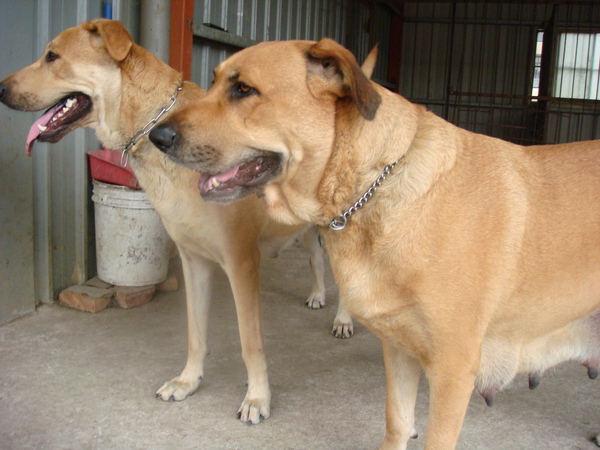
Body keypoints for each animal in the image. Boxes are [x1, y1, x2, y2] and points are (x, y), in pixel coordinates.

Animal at [0, 18, 356, 426]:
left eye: (52, 56)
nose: (0, 89)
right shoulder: (193, 260)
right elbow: (194, 333)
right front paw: (188, 381)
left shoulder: (241, 263)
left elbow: (250, 342)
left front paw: (257, 398)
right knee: (314, 256)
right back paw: (317, 295)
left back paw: (344, 318)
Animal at [149, 39, 600, 450]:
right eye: (213, 82)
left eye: (244, 90)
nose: (157, 136)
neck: (374, 186)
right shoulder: (399, 349)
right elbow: (397, 424)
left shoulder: (453, 373)